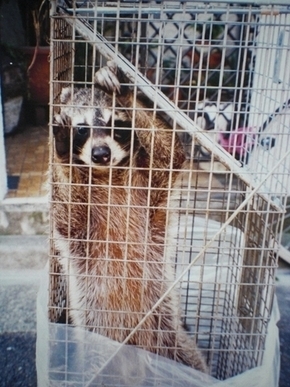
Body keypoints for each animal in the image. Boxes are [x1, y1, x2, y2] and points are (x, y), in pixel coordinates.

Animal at [51, 61, 206, 372]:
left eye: (116, 126)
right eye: (82, 129)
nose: (101, 153)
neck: (107, 175)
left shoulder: (149, 189)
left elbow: (170, 154)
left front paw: (124, 91)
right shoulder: (81, 226)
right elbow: (67, 213)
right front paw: (62, 150)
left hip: (168, 333)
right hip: (96, 340)